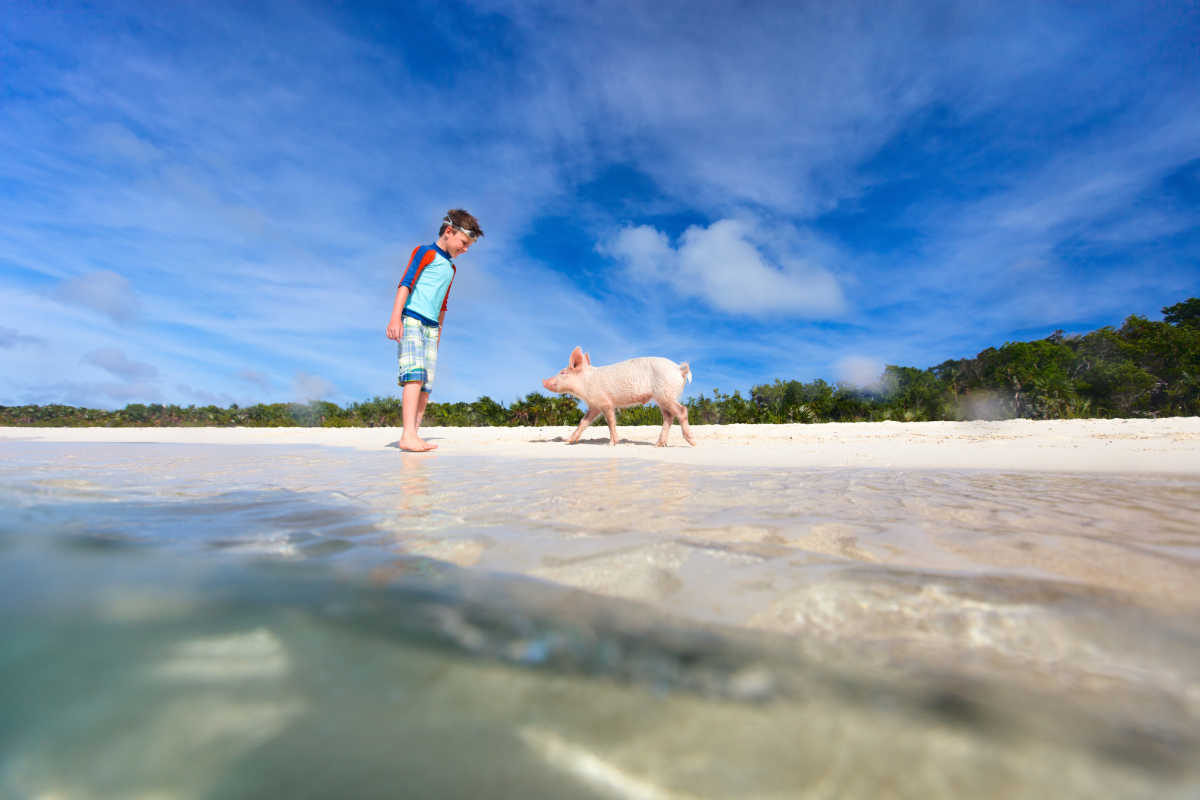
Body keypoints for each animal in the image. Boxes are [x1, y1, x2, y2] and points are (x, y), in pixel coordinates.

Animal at [542, 345, 700, 448]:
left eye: (563, 372)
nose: (543, 381)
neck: (585, 384)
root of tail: (678, 369)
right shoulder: (594, 406)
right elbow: (583, 422)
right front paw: (568, 441)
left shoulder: (605, 402)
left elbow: (611, 422)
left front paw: (611, 444)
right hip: (662, 398)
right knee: (668, 416)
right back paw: (659, 444)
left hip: (666, 393)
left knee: (682, 410)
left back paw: (692, 442)